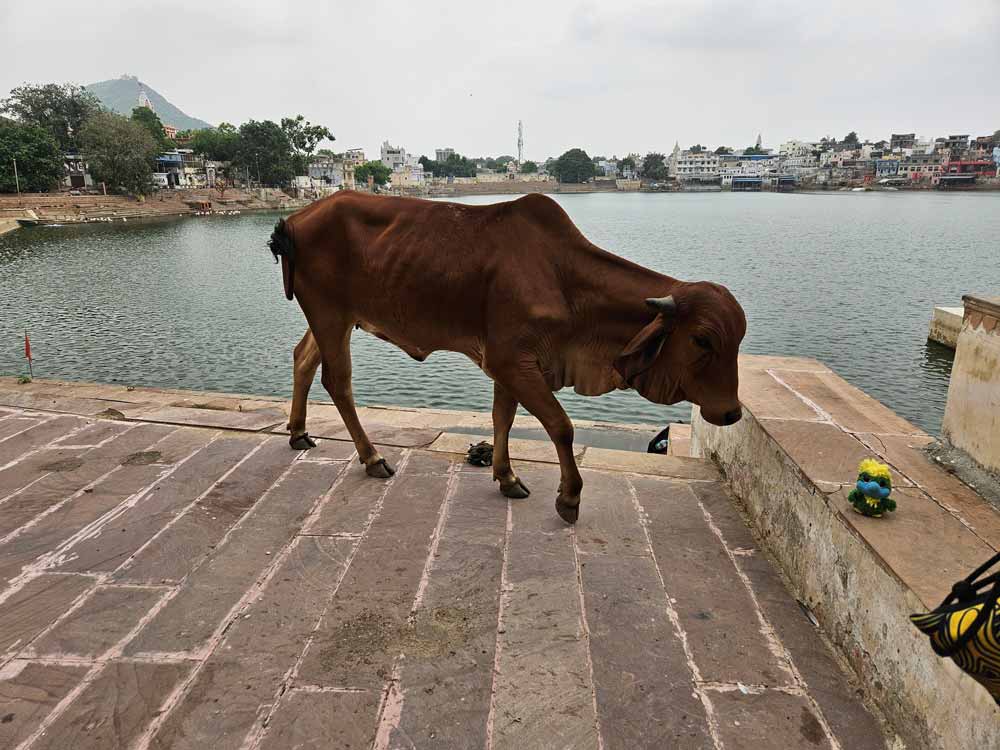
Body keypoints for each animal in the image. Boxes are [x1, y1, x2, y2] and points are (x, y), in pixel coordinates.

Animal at [270, 191, 746, 524]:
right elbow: (561, 426)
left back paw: (298, 433)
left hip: (335, 317)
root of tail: (295, 218)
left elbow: (504, 418)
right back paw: (371, 458)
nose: (732, 413)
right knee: (338, 380)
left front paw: (506, 476)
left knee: (303, 359)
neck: (566, 280)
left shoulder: (513, 364)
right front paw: (569, 497)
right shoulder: (511, 361)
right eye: (702, 340)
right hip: (330, 313)